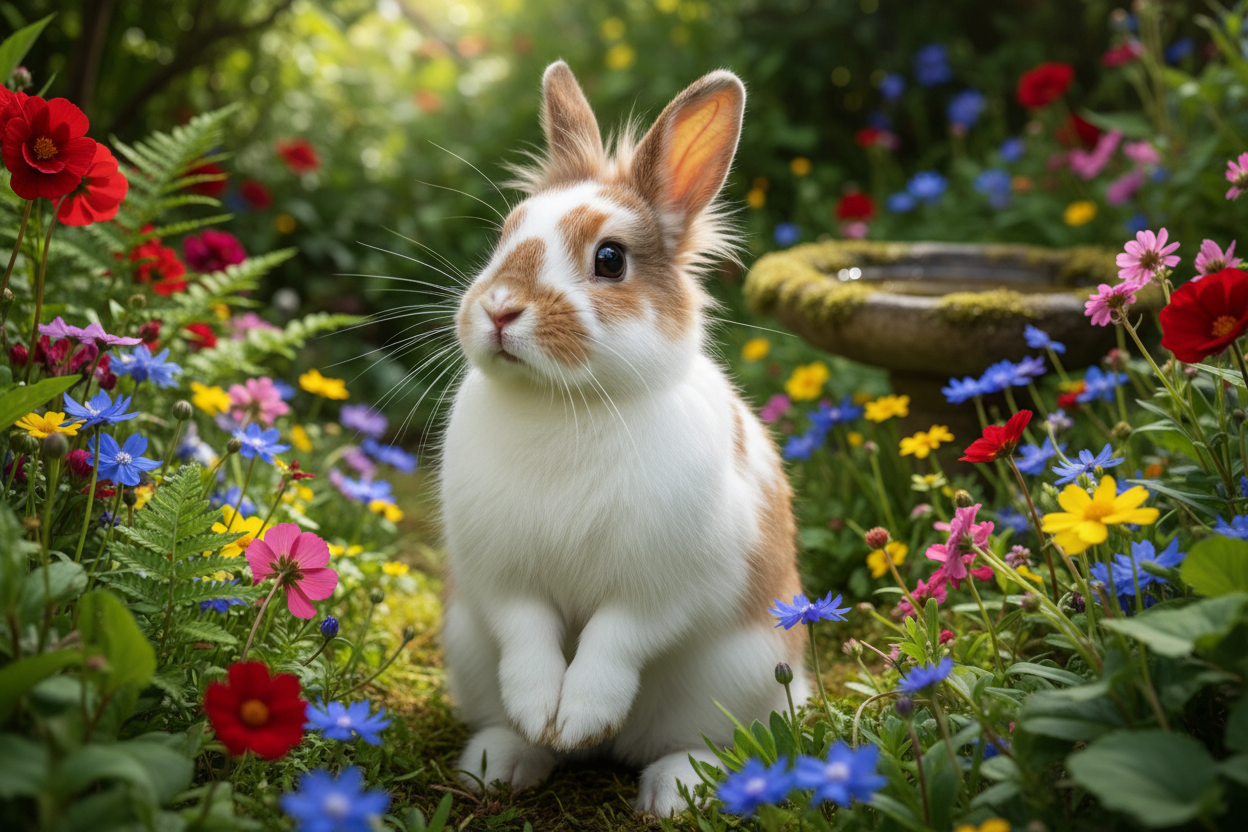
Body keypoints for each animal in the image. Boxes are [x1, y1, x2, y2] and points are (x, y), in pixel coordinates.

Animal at [439, 60, 809, 816]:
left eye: (610, 259)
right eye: (505, 236)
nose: (499, 310)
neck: (563, 403)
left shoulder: (659, 586)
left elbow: (614, 644)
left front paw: (580, 717)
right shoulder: (501, 579)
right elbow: (527, 639)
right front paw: (541, 715)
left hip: (742, 675)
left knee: (703, 740)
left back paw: (673, 788)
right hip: (467, 645)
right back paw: (505, 758)